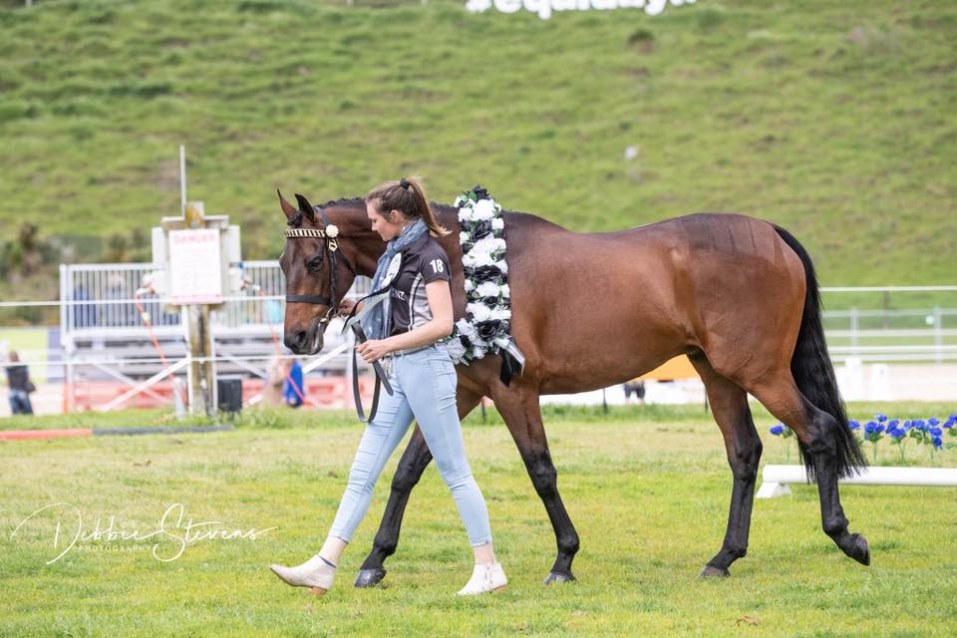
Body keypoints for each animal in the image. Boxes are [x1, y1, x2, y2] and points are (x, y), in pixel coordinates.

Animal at [274, 191, 868, 592]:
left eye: (314, 261)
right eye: (280, 263)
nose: (296, 338)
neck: (462, 262)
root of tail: (770, 233)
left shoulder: (514, 393)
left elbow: (541, 471)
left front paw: (564, 560)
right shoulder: (462, 392)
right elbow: (408, 471)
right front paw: (375, 560)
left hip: (758, 371)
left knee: (818, 431)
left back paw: (846, 538)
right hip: (718, 373)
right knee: (744, 452)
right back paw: (723, 557)